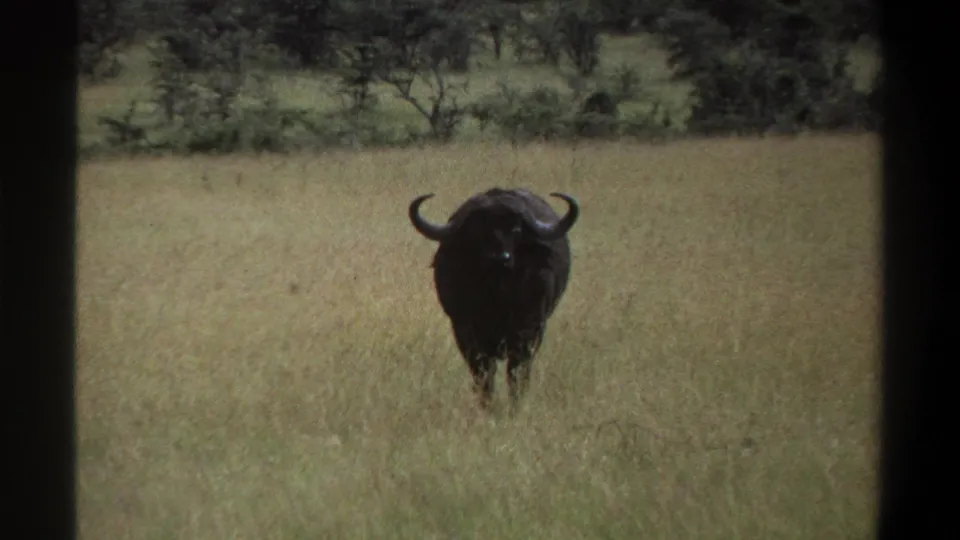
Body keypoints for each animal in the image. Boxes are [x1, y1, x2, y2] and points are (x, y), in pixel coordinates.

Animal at [409, 188, 580, 411]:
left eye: (516, 230)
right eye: (477, 230)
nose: (500, 258)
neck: (497, 298)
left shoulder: (528, 331)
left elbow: (516, 373)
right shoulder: (465, 333)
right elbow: (483, 374)